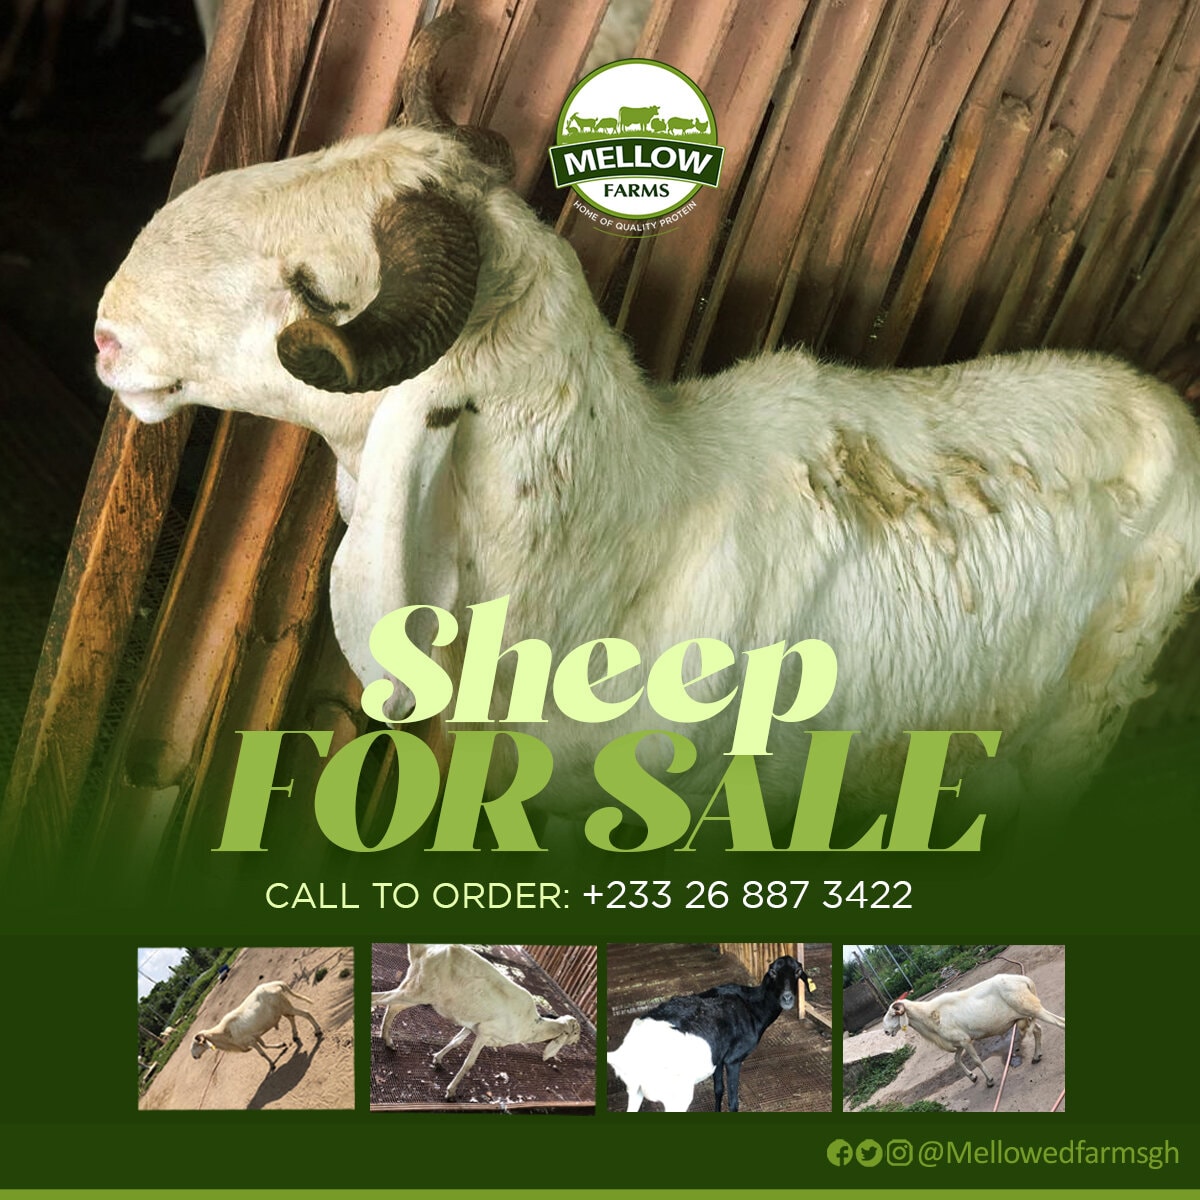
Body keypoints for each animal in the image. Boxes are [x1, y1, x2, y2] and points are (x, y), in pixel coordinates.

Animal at [190, 980, 322, 1070]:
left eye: (196, 1044)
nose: (193, 1056)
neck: (224, 1033)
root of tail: (276, 984)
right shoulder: (255, 1037)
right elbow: (264, 1045)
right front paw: (281, 1045)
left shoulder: (250, 1040)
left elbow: (262, 1053)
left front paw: (272, 1065)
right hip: (282, 1010)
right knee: (292, 1018)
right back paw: (295, 1035)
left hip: (285, 1006)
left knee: (306, 1014)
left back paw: (318, 1031)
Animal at [371, 944, 581, 1100]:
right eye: (576, 1032)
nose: (577, 1041)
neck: (531, 1027)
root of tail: (424, 950)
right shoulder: (486, 1032)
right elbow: (469, 1062)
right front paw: (450, 1092)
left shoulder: (473, 1026)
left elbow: (456, 1041)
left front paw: (437, 1059)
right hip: (419, 990)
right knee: (378, 999)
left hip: (414, 986)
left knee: (393, 1007)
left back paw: (388, 1041)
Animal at [608, 955, 814, 1112]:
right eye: (773, 972)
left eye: (797, 971)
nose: (787, 998)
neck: (753, 1006)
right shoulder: (733, 1059)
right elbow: (733, 1102)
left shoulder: (719, 1059)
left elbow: (718, 1090)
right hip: (676, 1094)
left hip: (636, 1090)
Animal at [882, 972, 1065, 1087]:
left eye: (892, 1014)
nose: (885, 1032)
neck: (929, 1015)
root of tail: (1024, 980)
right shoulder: (959, 1042)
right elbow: (956, 1060)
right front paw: (972, 1077)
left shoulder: (965, 1041)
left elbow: (976, 1060)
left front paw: (989, 1080)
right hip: (1026, 1015)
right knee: (1038, 1030)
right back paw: (1036, 1057)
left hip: (1033, 1008)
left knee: (1059, 1022)